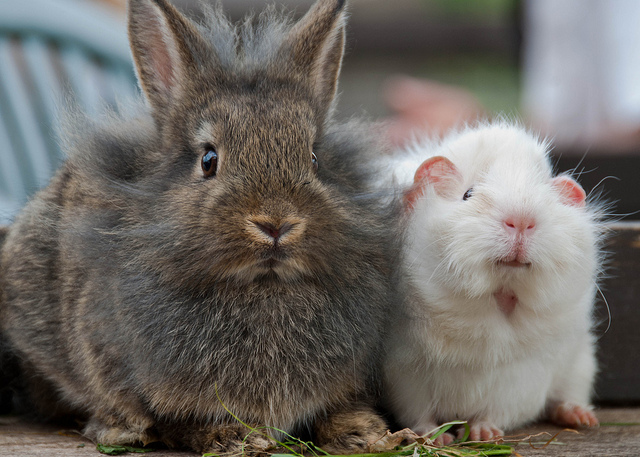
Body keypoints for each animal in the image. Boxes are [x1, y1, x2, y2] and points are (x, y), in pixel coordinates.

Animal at [0, 0, 400, 452]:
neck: (263, 286)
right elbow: (171, 421)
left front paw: (364, 432)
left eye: (314, 158)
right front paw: (232, 437)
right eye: (209, 160)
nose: (276, 223)